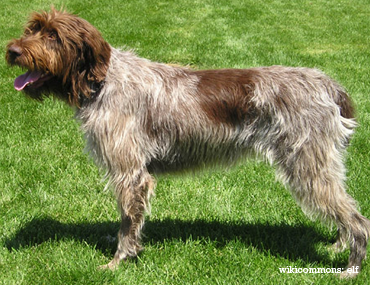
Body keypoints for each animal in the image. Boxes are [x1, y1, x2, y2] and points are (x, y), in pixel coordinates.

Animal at [6, 8, 370, 276]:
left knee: (357, 220)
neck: (102, 81)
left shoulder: (131, 174)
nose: (11, 51)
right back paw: (338, 246)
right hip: (320, 167)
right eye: (32, 28)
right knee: (344, 210)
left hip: (307, 167)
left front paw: (118, 261)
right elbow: (126, 218)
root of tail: (326, 83)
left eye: (53, 36)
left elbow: (128, 222)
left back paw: (351, 267)